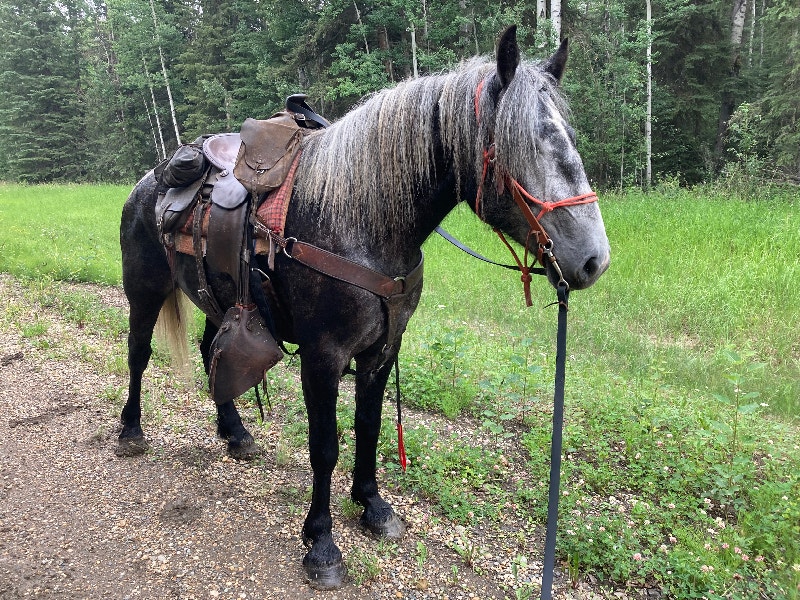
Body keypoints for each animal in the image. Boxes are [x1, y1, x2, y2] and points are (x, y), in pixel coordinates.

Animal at [118, 25, 610, 590]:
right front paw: (322, 543)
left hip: (218, 302)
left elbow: (370, 428)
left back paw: (235, 432)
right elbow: (325, 445)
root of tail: (152, 179)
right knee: (137, 354)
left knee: (209, 352)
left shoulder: (382, 350)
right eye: (528, 143)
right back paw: (131, 430)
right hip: (144, 292)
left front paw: (372, 506)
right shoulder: (323, 356)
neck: (360, 220)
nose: (594, 259)